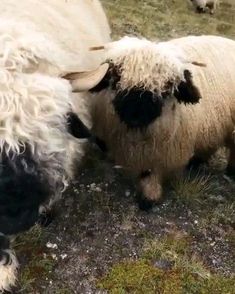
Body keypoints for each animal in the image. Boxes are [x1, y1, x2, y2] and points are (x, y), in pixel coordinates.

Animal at [64, 35, 235, 211]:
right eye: (116, 78)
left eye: (166, 88)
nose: (135, 116)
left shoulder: (158, 150)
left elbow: (151, 171)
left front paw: (149, 197)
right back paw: (197, 162)